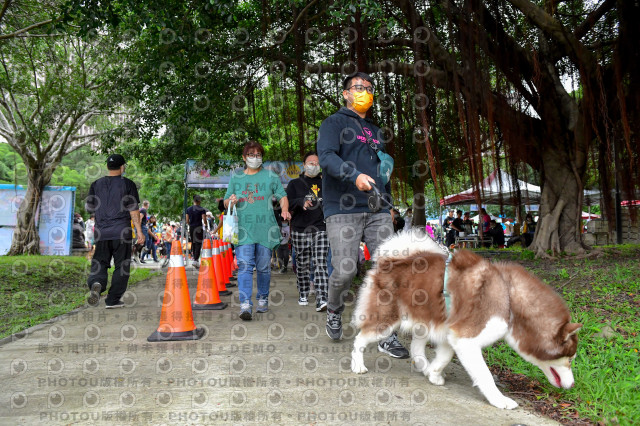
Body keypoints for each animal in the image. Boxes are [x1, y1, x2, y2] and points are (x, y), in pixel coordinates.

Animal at [350, 233, 580, 410]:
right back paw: (358, 365)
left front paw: (433, 373)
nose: (573, 386)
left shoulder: (453, 334)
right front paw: (500, 400)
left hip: (427, 319)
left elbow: (444, 357)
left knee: (416, 347)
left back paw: (424, 367)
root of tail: (390, 261)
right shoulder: (466, 338)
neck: (509, 297)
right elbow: (485, 375)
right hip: (386, 321)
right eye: (570, 359)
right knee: (360, 339)